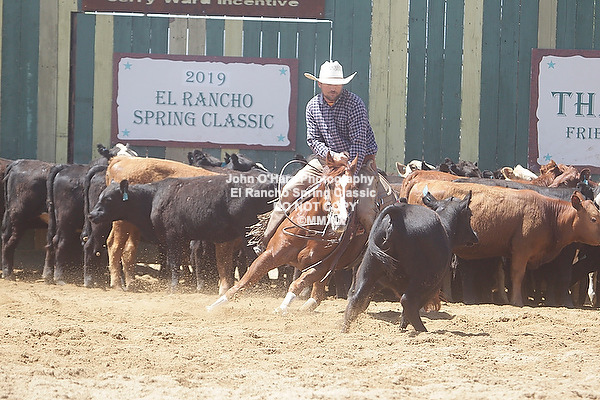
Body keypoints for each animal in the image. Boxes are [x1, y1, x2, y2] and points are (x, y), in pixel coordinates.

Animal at [88, 171, 277, 291]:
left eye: (109, 199)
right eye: (100, 197)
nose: (91, 215)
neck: (154, 197)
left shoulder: (172, 236)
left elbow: (173, 262)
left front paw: (174, 287)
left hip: (249, 234)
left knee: (257, 258)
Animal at [207, 152, 371, 313]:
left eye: (354, 187)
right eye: (329, 184)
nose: (341, 220)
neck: (310, 230)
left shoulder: (322, 266)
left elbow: (298, 284)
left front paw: (282, 307)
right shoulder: (271, 254)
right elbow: (245, 281)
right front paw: (213, 306)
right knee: (318, 294)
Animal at [343, 190, 478, 332]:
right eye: (469, 215)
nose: (475, 235)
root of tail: (398, 213)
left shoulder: (378, 282)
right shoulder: (432, 285)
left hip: (369, 271)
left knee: (357, 298)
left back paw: (345, 329)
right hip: (424, 279)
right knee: (408, 301)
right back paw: (422, 329)